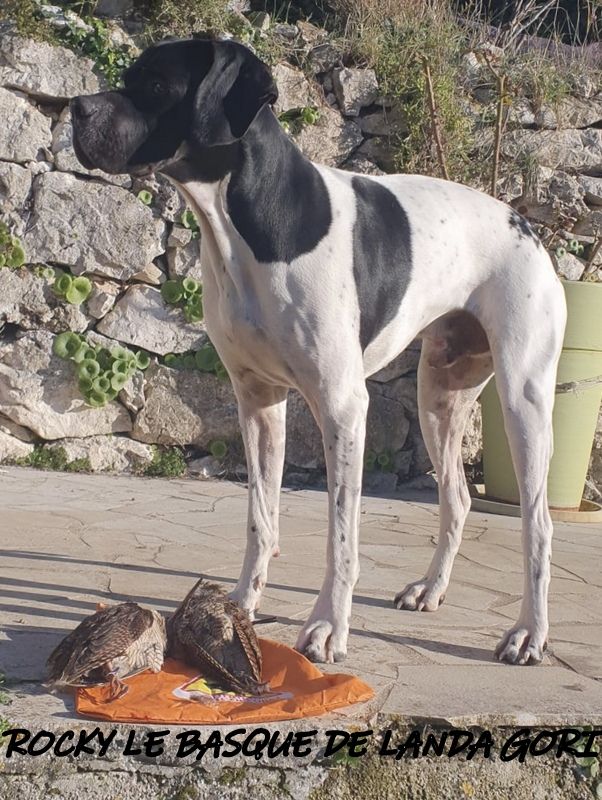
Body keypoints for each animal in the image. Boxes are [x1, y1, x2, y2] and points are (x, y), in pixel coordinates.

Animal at [70, 37, 564, 664]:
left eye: (157, 85)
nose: (75, 108)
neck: (245, 223)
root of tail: (526, 225)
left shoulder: (342, 407)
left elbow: (341, 539)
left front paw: (329, 626)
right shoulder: (258, 401)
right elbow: (260, 519)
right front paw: (238, 606)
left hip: (523, 403)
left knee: (538, 525)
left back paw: (529, 633)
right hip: (439, 396)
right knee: (457, 497)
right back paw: (431, 588)